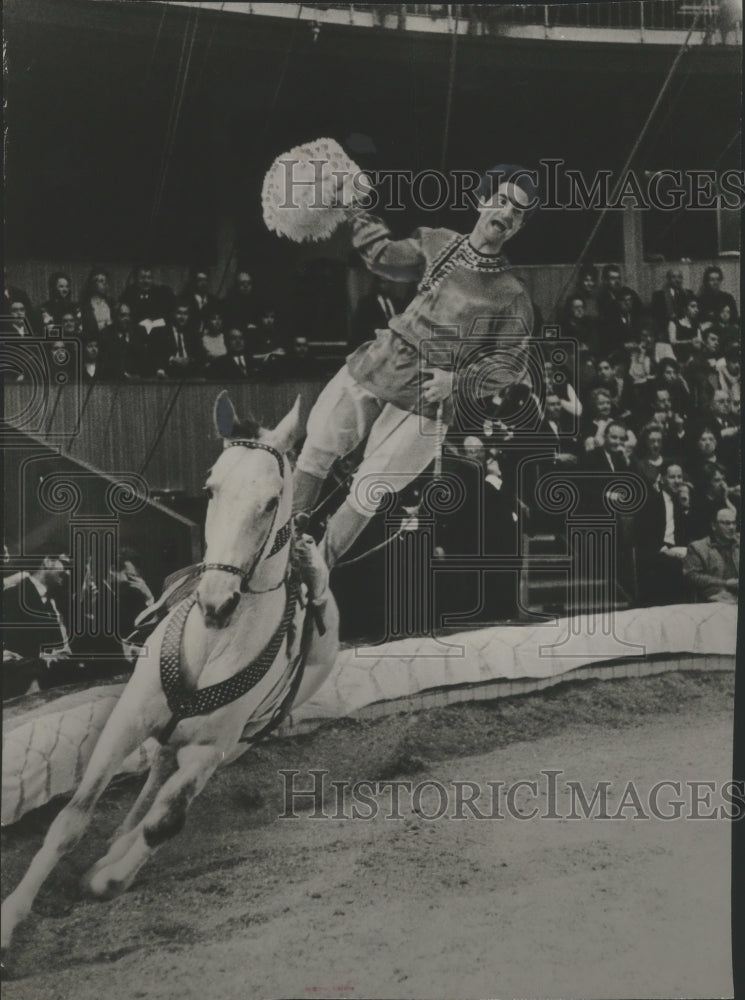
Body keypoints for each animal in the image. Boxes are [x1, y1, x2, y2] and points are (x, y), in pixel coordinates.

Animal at [1, 392, 338, 952]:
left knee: (165, 795)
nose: (218, 602)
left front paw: (108, 877)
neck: (215, 642)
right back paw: (117, 838)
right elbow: (72, 818)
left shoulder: (213, 748)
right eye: (211, 487)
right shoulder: (127, 721)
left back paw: (117, 853)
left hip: (241, 741)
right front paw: (11, 915)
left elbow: (166, 822)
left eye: (272, 501)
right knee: (156, 772)